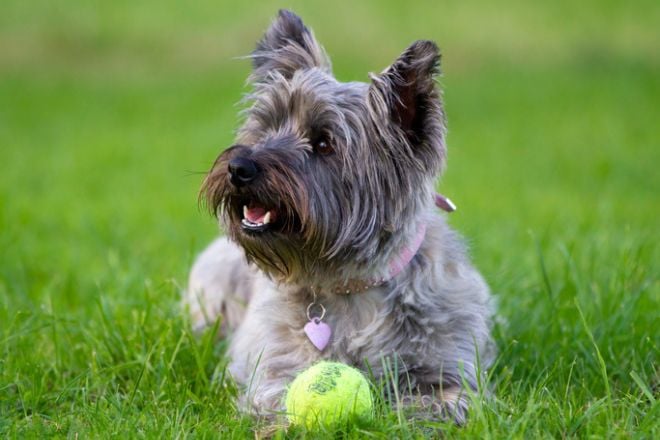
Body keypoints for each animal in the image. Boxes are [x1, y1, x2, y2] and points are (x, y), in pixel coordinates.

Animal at [183, 8, 492, 424]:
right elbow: (278, 396)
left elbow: (440, 400)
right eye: (266, 127)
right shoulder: (275, 366)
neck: (351, 286)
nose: (238, 167)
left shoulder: (449, 368)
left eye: (324, 143)